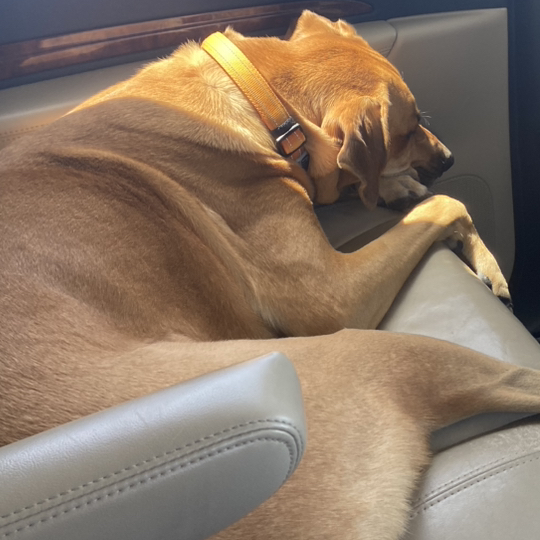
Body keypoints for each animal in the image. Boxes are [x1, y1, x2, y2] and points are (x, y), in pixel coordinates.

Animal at [1, 10, 540, 540]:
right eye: (408, 131)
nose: (449, 158)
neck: (259, 96)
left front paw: (399, 191)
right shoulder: (330, 295)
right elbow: (447, 203)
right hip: (375, 354)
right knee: (513, 375)